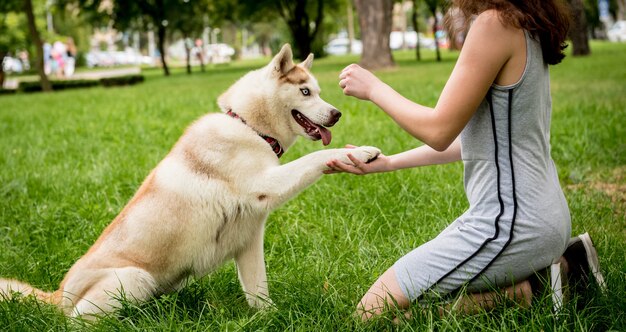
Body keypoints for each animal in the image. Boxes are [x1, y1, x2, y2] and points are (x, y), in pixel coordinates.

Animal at [0, 43, 378, 316]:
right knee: (77, 322)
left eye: (318, 91)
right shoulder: (266, 184)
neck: (247, 127)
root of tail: (58, 294)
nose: (336, 113)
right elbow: (314, 159)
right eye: (305, 92)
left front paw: (271, 317)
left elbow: (259, 292)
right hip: (135, 278)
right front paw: (359, 153)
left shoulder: (249, 240)